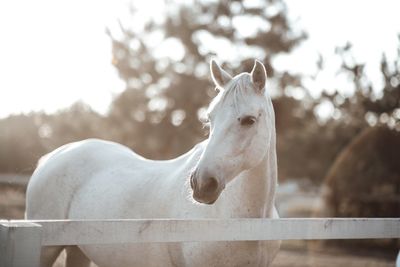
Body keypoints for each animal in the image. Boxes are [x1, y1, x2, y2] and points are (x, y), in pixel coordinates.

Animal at [26, 59, 280, 266]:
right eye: (210, 118)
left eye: (249, 120)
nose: (201, 184)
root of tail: (55, 155)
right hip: (46, 250)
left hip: (78, 250)